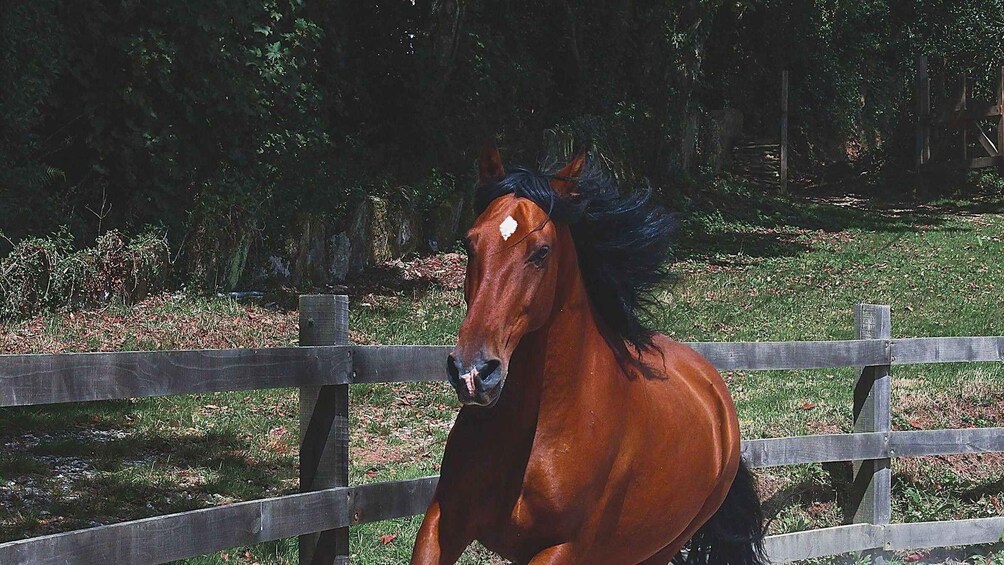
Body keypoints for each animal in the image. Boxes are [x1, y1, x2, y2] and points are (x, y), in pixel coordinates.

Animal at [410, 143, 766, 565]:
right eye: (470, 243)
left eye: (541, 252)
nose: (472, 372)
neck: (535, 432)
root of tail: (715, 393)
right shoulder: (442, 522)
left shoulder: (562, 548)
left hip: (661, 546)